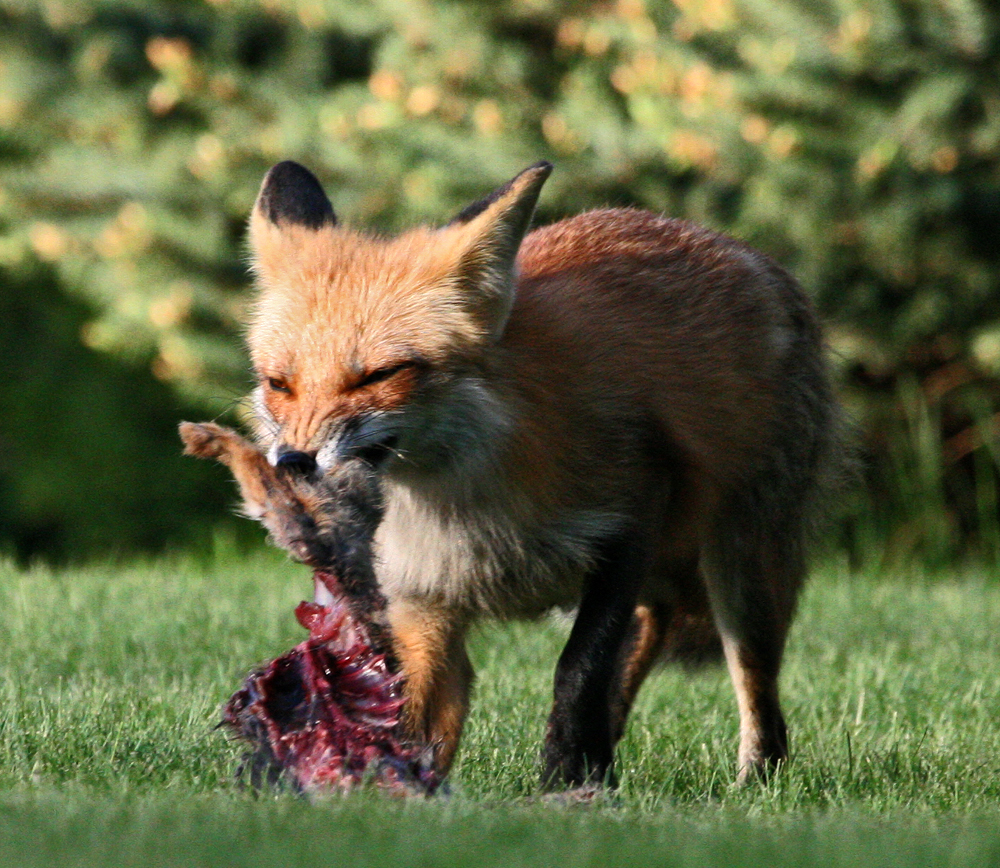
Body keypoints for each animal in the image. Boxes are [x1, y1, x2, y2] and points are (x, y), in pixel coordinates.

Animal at [244, 159, 844, 792]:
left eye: (379, 375)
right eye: (279, 384)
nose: (293, 462)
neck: (461, 506)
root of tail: (728, 244)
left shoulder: (629, 520)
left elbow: (578, 670)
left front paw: (563, 780)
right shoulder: (423, 594)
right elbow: (412, 709)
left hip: (743, 572)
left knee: (756, 690)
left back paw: (754, 778)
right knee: (651, 626)